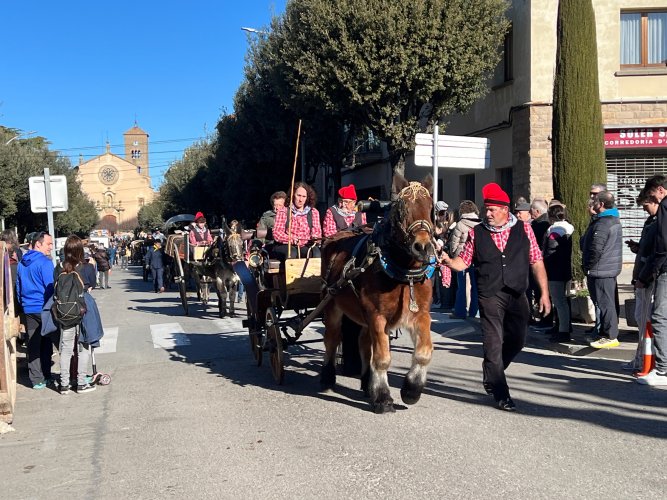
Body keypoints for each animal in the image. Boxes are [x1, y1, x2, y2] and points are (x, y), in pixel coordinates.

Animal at [320, 175, 436, 414]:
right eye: (401, 210)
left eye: (430, 208)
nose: (422, 247)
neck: (404, 274)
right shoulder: (377, 315)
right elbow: (382, 358)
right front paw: (383, 398)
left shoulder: (420, 314)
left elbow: (424, 352)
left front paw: (411, 390)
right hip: (332, 305)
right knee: (332, 339)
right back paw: (327, 378)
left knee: (364, 344)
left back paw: (367, 383)